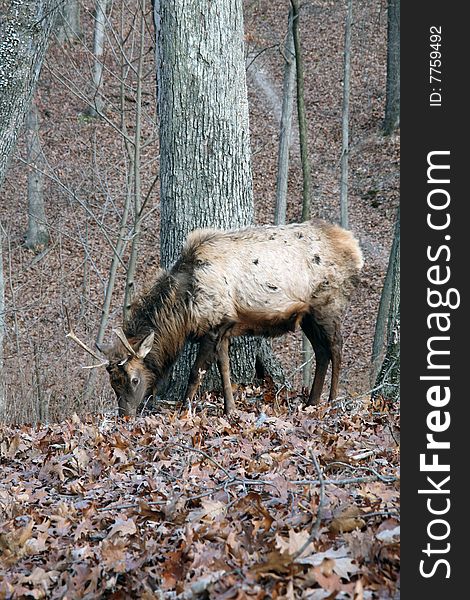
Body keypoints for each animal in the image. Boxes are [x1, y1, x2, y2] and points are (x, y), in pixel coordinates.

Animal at [69, 220, 364, 418]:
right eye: (113, 382)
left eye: (133, 379)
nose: (125, 416)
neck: (184, 312)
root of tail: (355, 249)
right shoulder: (222, 327)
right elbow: (223, 370)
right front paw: (228, 408)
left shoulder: (215, 325)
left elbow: (196, 372)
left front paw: (187, 409)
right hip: (308, 316)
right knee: (322, 352)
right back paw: (312, 401)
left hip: (329, 304)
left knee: (336, 349)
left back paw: (332, 401)